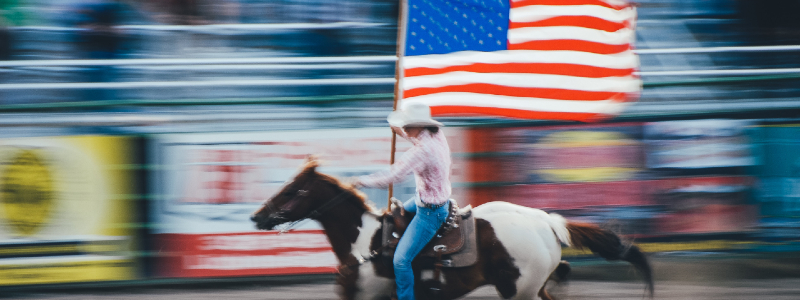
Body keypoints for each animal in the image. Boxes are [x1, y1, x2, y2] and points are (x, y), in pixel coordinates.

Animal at [253, 158, 652, 298]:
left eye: (291, 191)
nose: (257, 217)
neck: (364, 245)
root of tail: (546, 221)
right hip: (532, 288)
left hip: (518, 291)